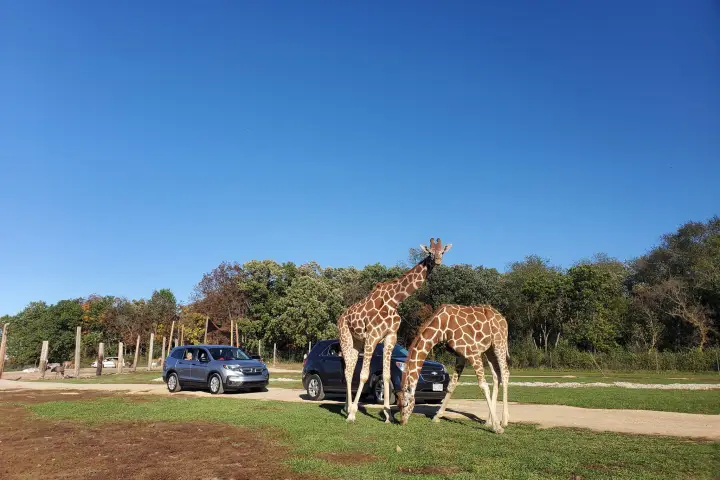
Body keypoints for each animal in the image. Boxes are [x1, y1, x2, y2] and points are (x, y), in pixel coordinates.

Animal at [338, 238, 452, 423]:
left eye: (442, 251)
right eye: (429, 252)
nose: (437, 260)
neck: (394, 300)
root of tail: (341, 317)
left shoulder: (390, 336)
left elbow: (386, 376)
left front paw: (388, 415)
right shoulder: (372, 335)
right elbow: (364, 375)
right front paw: (354, 414)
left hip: (357, 342)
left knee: (349, 370)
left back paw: (346, 408)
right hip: (345, 337)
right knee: (348, 372)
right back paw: (349, 411)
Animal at [397, 304, 510, 433]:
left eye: (405, 404)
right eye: (397, 404)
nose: (402, 422)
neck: (443, 326)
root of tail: (503, 318)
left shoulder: (472, 352)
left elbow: (483, 385)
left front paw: (497, 427)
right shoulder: (460, 355)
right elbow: (451, 386)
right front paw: (437, 416)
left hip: (499, 343)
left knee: (505, 373)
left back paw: (504, 421)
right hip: (489, 350)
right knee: (496, 375)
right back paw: (488, 421)